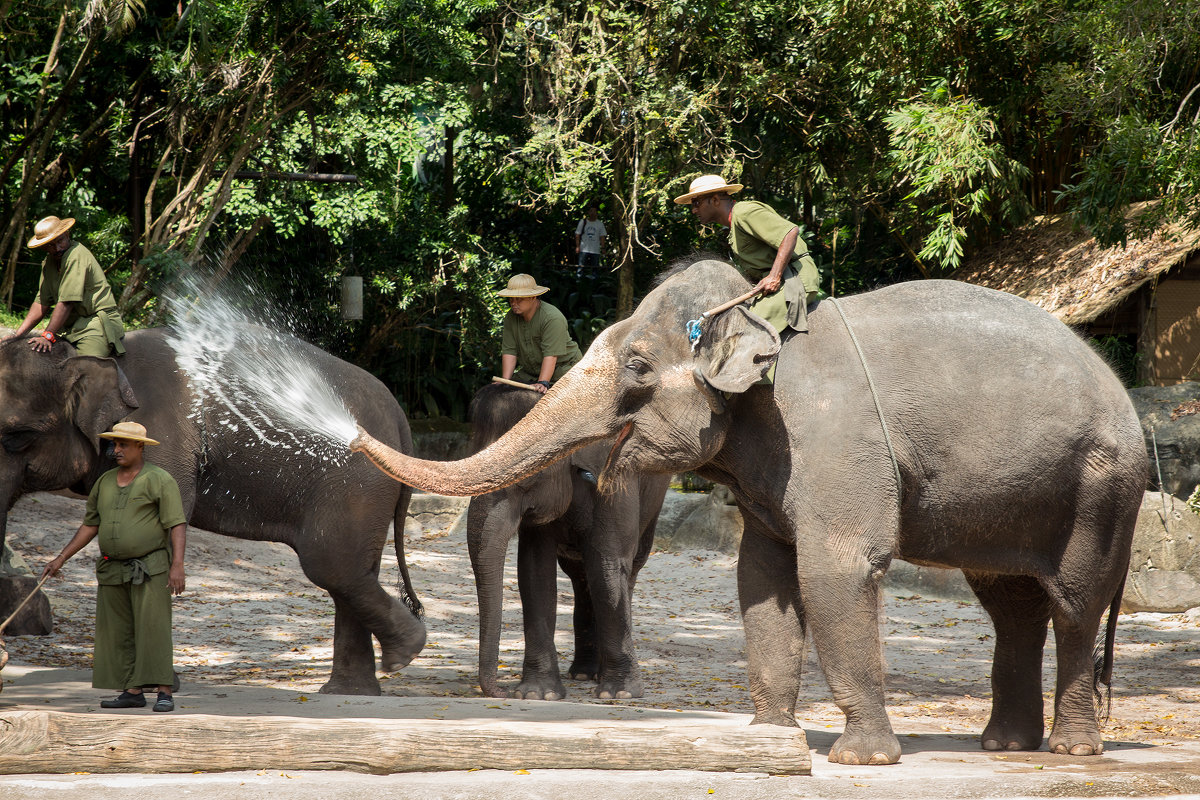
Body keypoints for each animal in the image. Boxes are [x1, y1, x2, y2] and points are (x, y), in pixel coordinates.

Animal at [0, 331, 429, 695]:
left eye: (16, 437)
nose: (4, 659)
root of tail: (401, 421)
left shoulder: (160, 440)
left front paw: (153, 685)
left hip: (355, 484)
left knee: (332, 564)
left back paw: (404, 655)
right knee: (351, 571)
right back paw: (351, 689)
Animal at [348, 260, 1142, 767]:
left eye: (637, 365)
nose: (350, 436)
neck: (758, 322)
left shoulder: (831, 443)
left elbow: (834, 573)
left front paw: (861, 761)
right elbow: (761, 579)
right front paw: (765, 737)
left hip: (1100, 486)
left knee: (1073, 603)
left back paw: (1071, 748)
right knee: (1011, 602)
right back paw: (1004, 746)